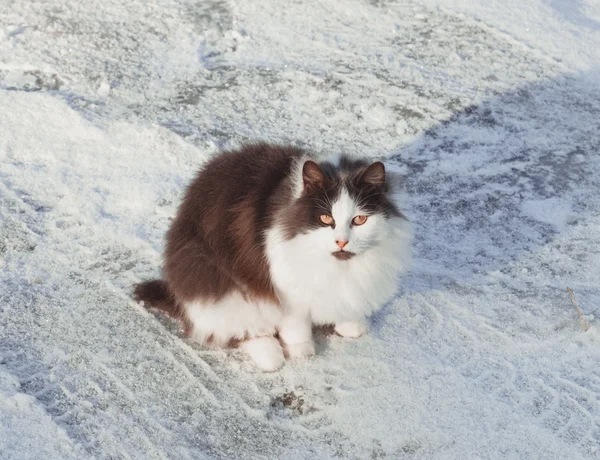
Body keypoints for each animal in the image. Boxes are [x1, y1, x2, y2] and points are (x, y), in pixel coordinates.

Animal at [133, 143, 410, 370]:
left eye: (360, 219)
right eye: (325, 218)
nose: (341, 241)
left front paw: (349, 324)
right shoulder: (285, 284)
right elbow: (295, 323)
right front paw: (301, 350)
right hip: (219, 283)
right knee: (237, 329)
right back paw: (271, 355)